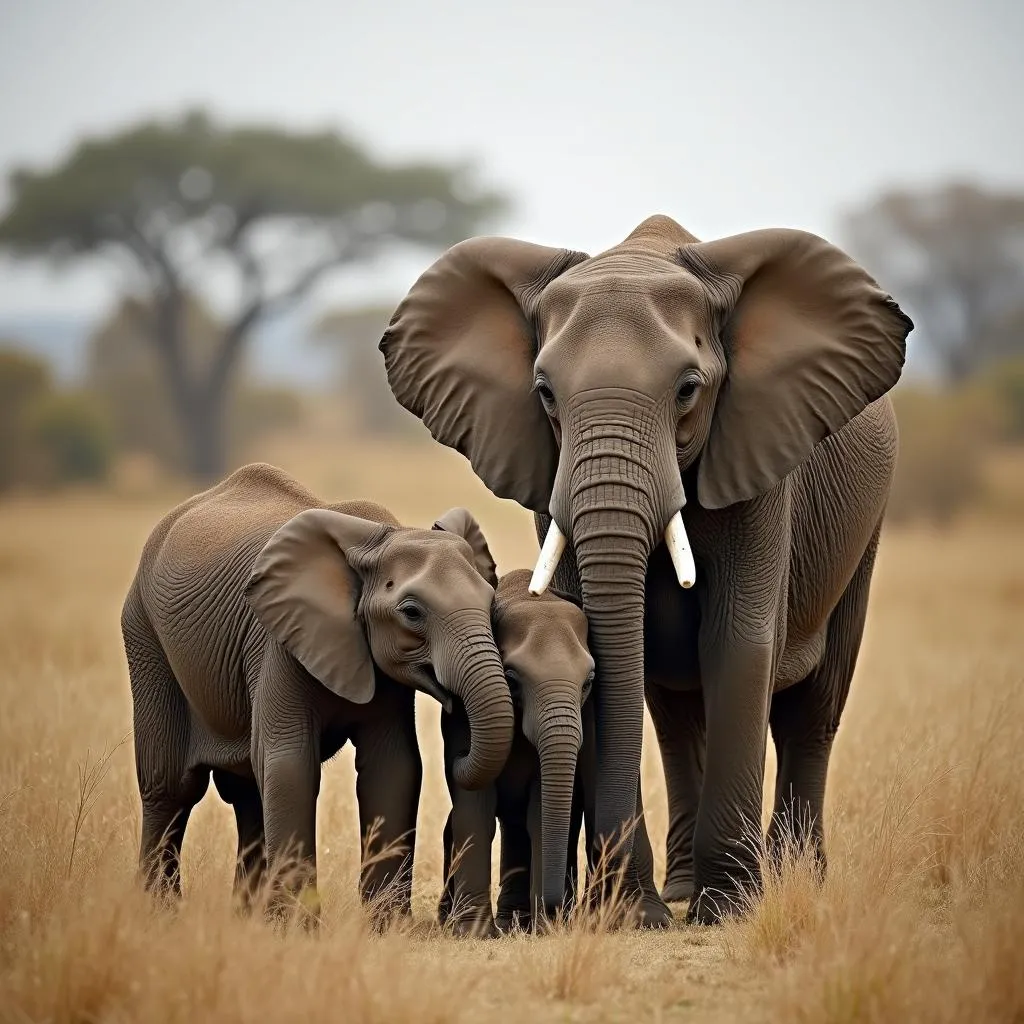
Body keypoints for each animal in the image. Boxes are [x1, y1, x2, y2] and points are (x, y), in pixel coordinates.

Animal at [123, 468, 512, 925]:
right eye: (412, 612)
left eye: (491, 604)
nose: (455, 713)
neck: (379, 539)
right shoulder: (277, 641)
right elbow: (291, 764)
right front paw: (298, 929)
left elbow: (393, 766)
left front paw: (386, 928)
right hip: (145, 636)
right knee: (172, 786)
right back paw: (159, 913)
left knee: (246, 789)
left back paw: (246, 918)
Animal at [436, 569, 598, 937]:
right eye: (511, 679)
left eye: (588, 682)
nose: (558, 907)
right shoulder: (462, 716)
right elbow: (475, 807)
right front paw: (473, 934)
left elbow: (538, 815)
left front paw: (544, 930)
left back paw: (515, 922)